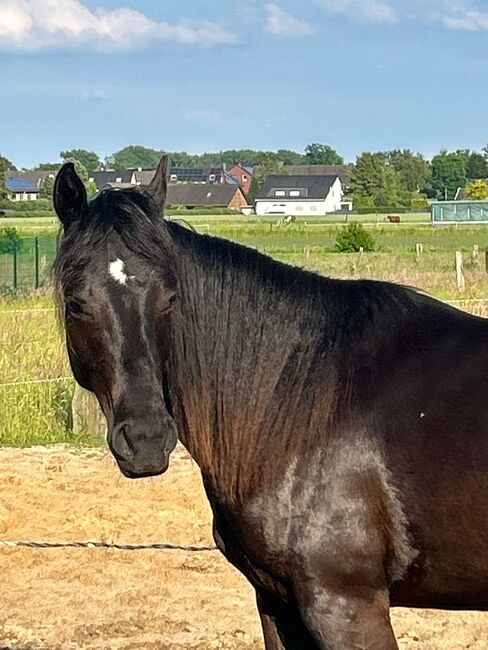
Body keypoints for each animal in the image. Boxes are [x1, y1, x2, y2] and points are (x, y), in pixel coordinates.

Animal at [53, 158, 488, 648]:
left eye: (170, 298)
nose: (146, 440)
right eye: (76, 304)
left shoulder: (346, 607)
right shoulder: (276, 601)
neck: (306, 409)